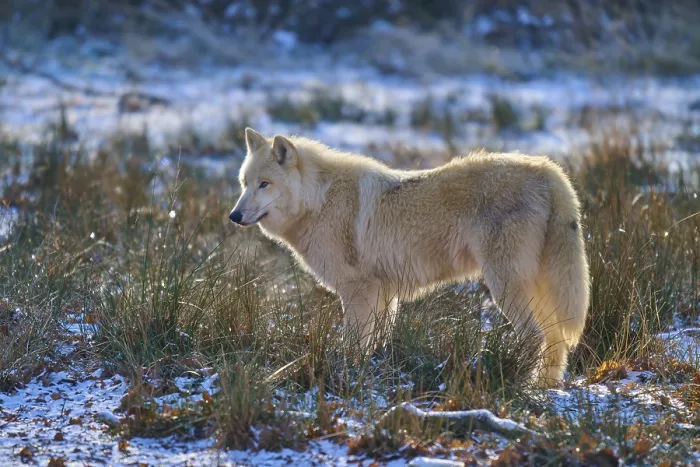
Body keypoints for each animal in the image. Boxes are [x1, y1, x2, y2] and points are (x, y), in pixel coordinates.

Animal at [229, 128, 590, 387]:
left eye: (265, 184)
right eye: (244, 184)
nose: (234, 216)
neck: (319, 200)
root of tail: (550, 171)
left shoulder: (358, 291)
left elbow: (352, 344)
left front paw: (345, 374)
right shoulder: (383, 294)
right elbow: (376, 342)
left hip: (505, 286)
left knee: (536, 336)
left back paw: (516, 382)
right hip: (538, 289)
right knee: (556, 340)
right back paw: (544, 389)